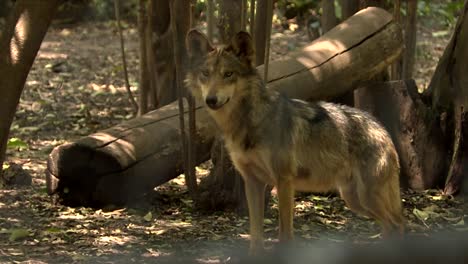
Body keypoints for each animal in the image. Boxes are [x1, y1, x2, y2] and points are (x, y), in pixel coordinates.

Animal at [185, 29, 404, 255]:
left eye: (228, 74)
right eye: (205, 74)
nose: (211, 100)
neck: (248, 120)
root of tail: (382, 129)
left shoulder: (284, 181)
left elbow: (285, 233)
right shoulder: (253, 182)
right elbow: (255, 234)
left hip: (366, 197)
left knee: (397, 225)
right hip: (355, 200)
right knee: (391, 226)